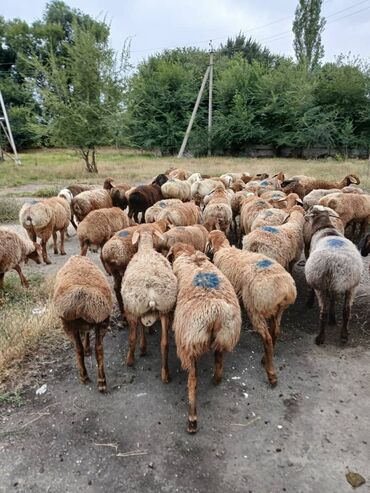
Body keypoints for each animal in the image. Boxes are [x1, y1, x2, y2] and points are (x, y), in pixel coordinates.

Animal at [52, 256, 112, 390]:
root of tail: (82, 303)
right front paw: (87, 348)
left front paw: (87, 348)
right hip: (101, 321)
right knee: (96, 348)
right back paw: (100, 382)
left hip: (69, 325)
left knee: (82, 348)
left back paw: (87, 377)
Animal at [118, 229, 176, 382]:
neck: (145, 248)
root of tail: (151, 294)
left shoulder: (138, 310)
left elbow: (141, 329)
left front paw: (143, 347)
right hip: (165, 309)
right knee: (164, 343)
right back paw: (165, 373)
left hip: (132, 308)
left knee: (132, 337)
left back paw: (130, 360)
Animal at [168, 242, 243, 430]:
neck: (190, 254)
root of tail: (215, 313)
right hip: (225, 335)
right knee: (219, 361)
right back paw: (216, 380)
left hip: (189, 342)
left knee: (192, 381)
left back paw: (192, 420)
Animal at [207, 229, 296, 386]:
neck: (224, 250)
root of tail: (285, 290)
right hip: (277, 312)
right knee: (275, 332)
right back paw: (265, 358)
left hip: (255, 308)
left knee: (267, 338)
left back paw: (271, 374)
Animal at [304, 209, 362, 344]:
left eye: (310, 211)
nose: (304, 216)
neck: (326, 227)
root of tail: (334, 262)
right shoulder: (334, 285)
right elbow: (333, 299)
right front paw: (333, 318)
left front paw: (309, 302)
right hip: (352, 285)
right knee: (346, 311)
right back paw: (344, 334)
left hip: (319, 282)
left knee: (323, 312)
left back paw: (320, 337)